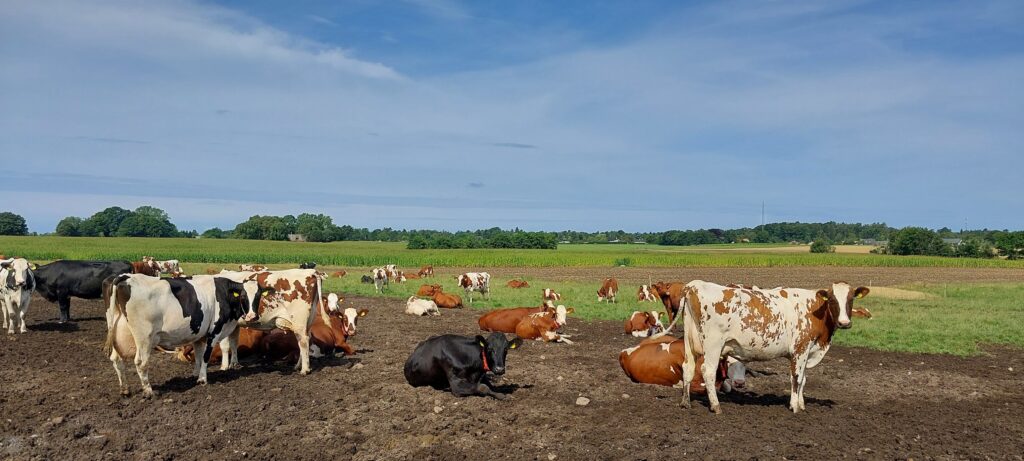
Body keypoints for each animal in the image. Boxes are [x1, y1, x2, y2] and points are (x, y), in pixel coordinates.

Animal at [100, 274, 264, 395]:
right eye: (243, 296)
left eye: (258, 296)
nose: (252, 316)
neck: (224, 293)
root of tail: (124, 276)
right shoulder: (214, 331)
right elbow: (206, 356)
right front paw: (202, 380)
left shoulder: (199, 334)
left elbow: (198, 355)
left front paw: (195, 374)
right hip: (144, 337)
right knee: (140, 362)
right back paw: (148, 391)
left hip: (118, 332)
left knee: (116, 359)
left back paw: (125, 390)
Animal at [675, 280, 868, 413]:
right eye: (833, 300)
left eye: (851, 299)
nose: (844, 323)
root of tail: (695, 285)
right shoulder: (800, 349)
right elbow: (797, 378)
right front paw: (795, 406)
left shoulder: (806, 352)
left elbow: (803, 379)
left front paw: (801, 404)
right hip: (713, 345)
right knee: (708, 371)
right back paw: (716, 406)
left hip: (690, 343)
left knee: (688, 368)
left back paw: (685, 402)